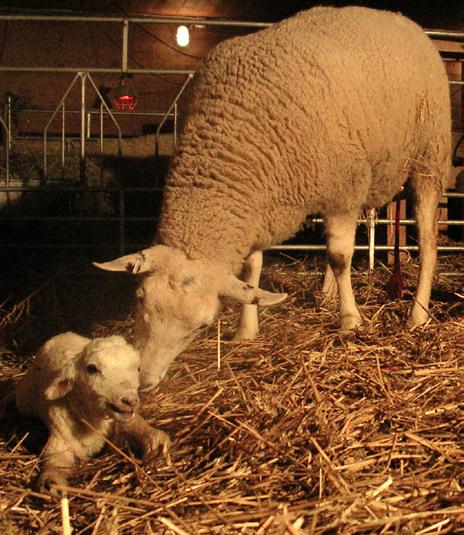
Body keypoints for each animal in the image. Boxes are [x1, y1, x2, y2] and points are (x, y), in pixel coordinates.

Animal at [16, 332, 173, 496]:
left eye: (138, 367)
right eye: (91, 368)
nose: (130, 400)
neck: (93, 419)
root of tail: (63, 334)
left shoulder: (125, 421)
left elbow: (140, 426)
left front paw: (157, 443)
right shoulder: (60, 437)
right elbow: (56, 460)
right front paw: (51, 482)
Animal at [93, 5, 450, 394]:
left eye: (203, 326)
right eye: (139, 300)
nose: (142, 382)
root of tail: (399, 18)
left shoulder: (344, 186)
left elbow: (341, 258)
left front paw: (350, 320)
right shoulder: (258, 208)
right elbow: (252, 271)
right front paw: (246, 330)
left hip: (428, 155)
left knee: (426, 241)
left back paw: (417, 315)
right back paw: (326, 294)